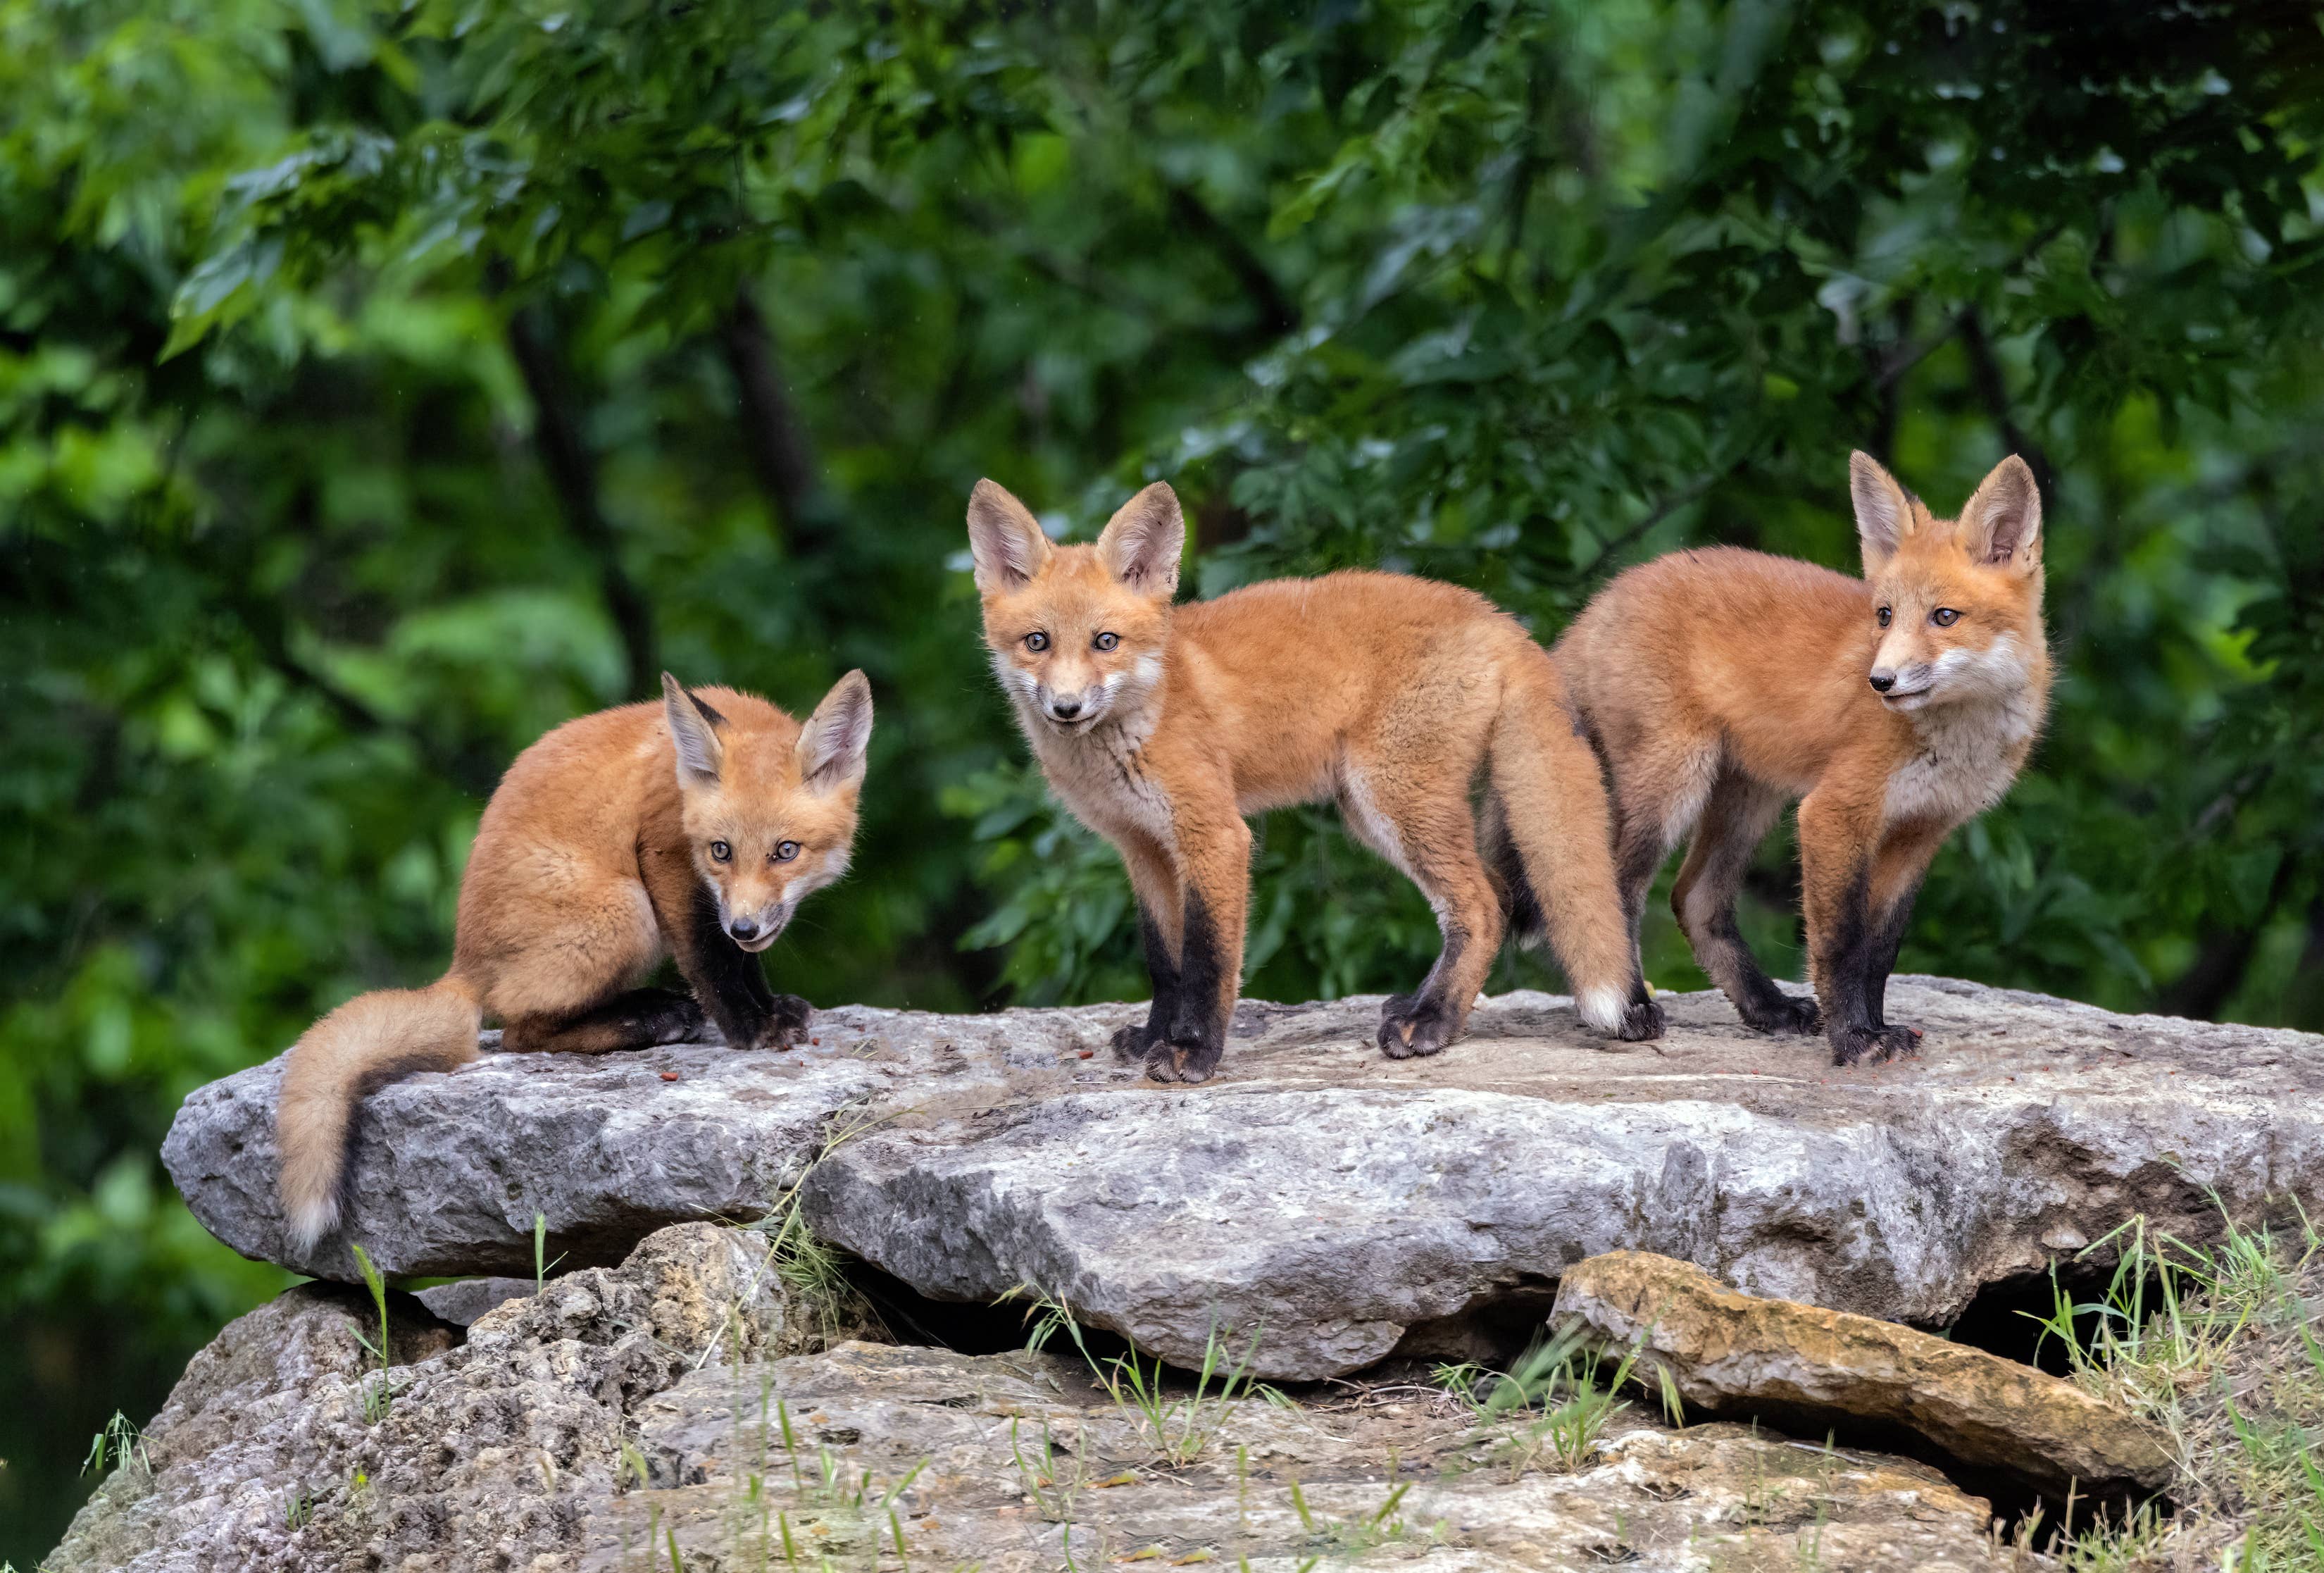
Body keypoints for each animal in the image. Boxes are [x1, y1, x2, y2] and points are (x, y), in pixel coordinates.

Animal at [277, 669, 873, 1250]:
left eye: (785, 851)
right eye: (720, 850)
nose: (745, 927)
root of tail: (462, 963)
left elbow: (741, 962)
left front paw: (770, 1008)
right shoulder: (667, 855)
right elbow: (713, 962)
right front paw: (750, 1026)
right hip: (627, 912)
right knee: (520, 1031)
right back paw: (648, 1019)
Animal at [965, 478, 1663, 1084]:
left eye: (1105, 641)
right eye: (1037, 641)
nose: (1066, 708)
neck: (1146, 709)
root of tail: (1497, 616)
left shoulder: (1215, 835)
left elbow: (1208, 960)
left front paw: (1192, 1051)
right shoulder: (1143, 847)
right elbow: (1165, 962)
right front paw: (1154, 1037)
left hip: (1393, 799)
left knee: (1483, 904)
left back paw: (1432, 1023)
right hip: (1368, 811)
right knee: (1494, 893)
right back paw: (1421, 1005)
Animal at [1553, 452, 2050, 1067]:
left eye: (1944, 616)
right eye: (1884, 615)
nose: (1880, 681)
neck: (1957, 739)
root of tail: (1601, 601)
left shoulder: (1920, 831)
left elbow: (1880, 951)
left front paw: (1877, 1026)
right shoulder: (1833, 813)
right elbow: (1841, 944)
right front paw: (1855, 1038)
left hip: (1750, 797)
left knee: (1694, 898)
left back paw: (1767, 1007)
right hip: (1675, 784)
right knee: (1617, 889)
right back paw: (1628, 1010)